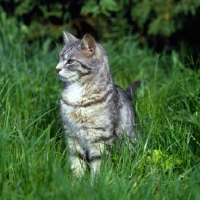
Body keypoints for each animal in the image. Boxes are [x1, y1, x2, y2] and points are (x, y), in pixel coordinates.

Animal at [55, 31, 139, 178]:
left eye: (70, 61)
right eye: (60, 58)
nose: (56, 69)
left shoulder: (100, 137)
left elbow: (98, 163)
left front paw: (95, 182)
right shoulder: (72, 135)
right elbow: (77, 161)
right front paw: (77, 181)